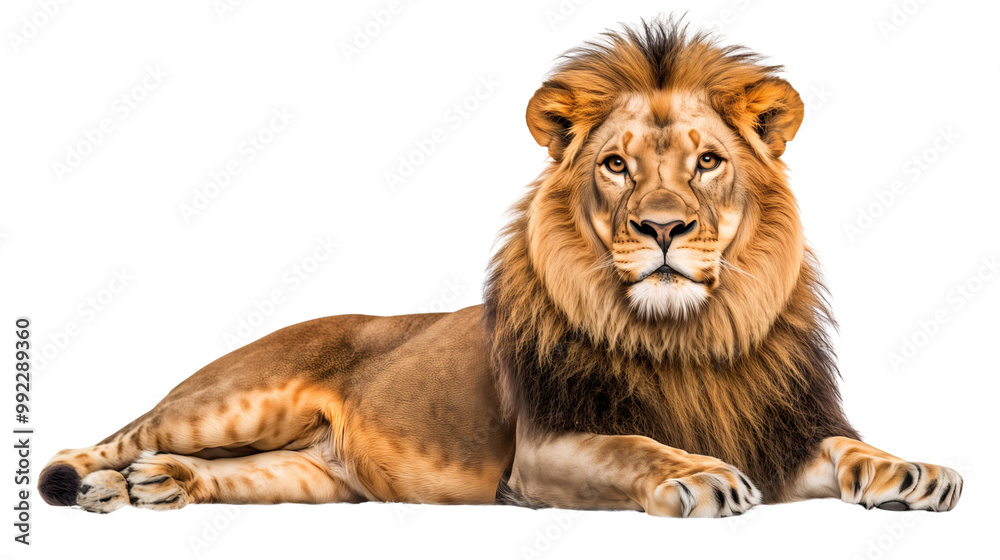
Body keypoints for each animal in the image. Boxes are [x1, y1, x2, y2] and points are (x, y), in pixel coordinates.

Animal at [39, 19, 961, 517]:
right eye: (616, 166)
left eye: (707, 162)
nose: (663, 228)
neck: (685, 337)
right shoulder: (543, 452)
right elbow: (637, 445)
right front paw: (697, 472)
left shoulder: (776, 433)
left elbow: (846, 443)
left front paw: (913, 470)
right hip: (229, 400)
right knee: (113, 436)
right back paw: (92, 482)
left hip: (306, 476)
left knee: (215, 471)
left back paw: (155, 486)